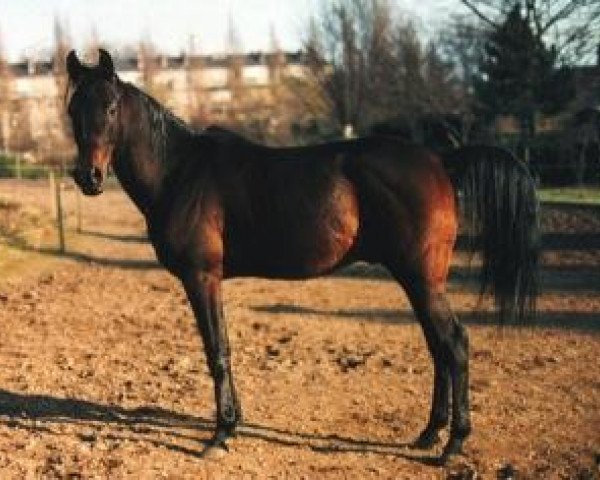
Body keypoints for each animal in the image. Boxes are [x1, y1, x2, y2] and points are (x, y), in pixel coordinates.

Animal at [65, 50, 540, 464]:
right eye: (72, 110)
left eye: (110, 108)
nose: (88, 177)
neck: (181, 172)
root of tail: (440, 160)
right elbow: (222, 347)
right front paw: (233, 425)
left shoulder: (202, 277)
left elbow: (218, 350)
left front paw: (220, 435)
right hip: (418, 280)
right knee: (438, 346)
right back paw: (429, 434)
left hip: (421, 278)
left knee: (454, 344)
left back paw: (452, 445)